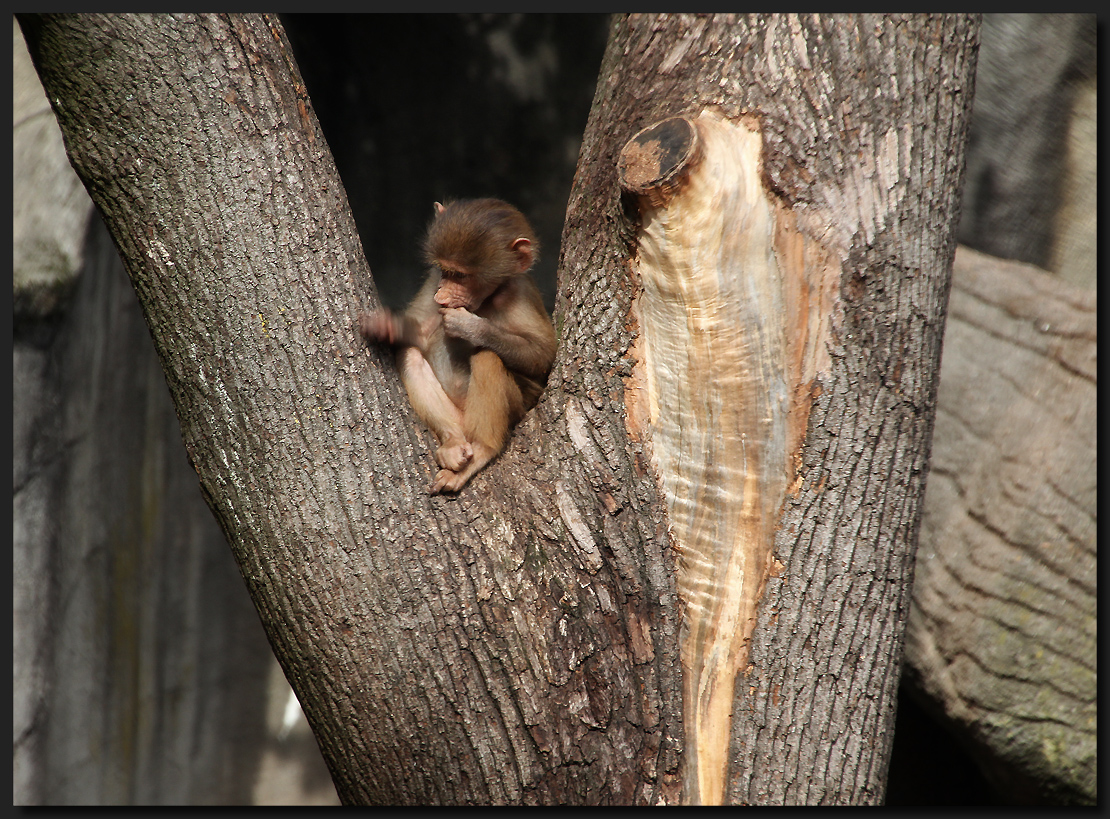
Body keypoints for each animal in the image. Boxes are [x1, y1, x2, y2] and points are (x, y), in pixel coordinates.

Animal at [359, 197, 555, 490]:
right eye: (445, 271)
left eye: (461, 276)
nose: (442, 295)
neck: (487, 298)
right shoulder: (432, 280)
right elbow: (420, 333)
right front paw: (389, 327)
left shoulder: (519, 292)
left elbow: (544, 356)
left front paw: (471, 327)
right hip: (458, 420)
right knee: (411, 356)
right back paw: (452, 442)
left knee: (487, 357)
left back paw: (483, 449)